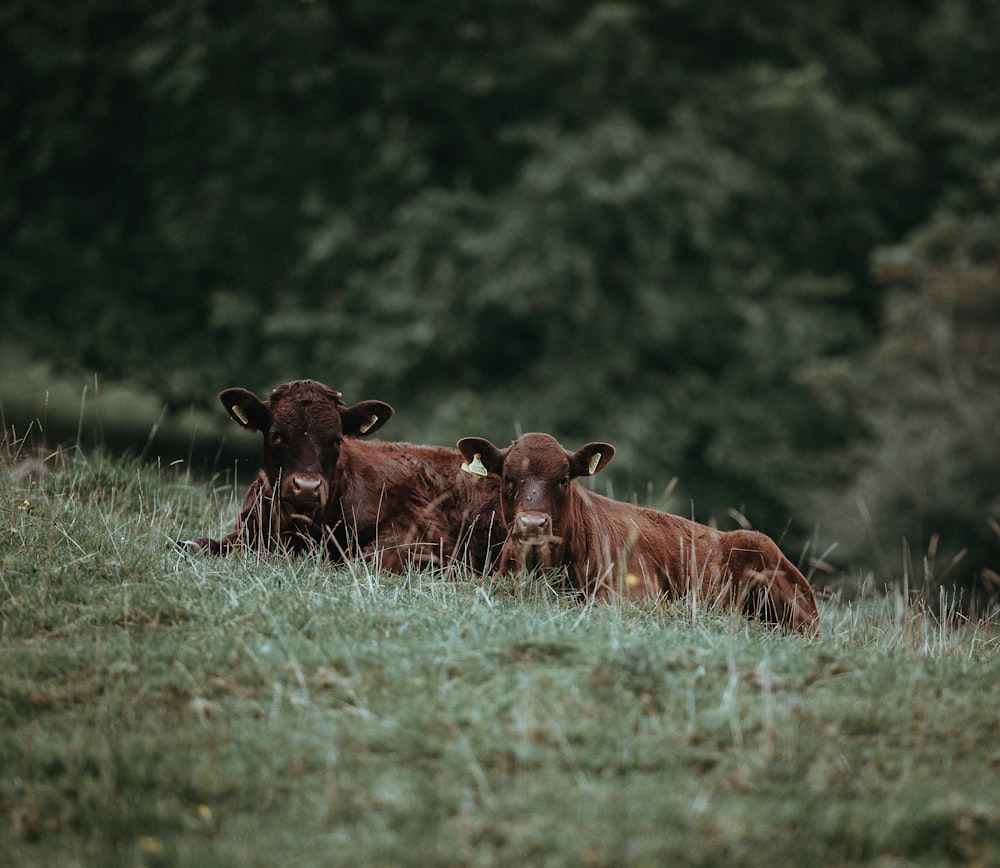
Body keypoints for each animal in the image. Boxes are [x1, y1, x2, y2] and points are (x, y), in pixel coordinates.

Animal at [182, 378, 500, 568]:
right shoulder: (249, 531)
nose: (307, 486)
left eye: (335, 439)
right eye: (276, 435)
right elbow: (195, 545)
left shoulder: (424, 536)